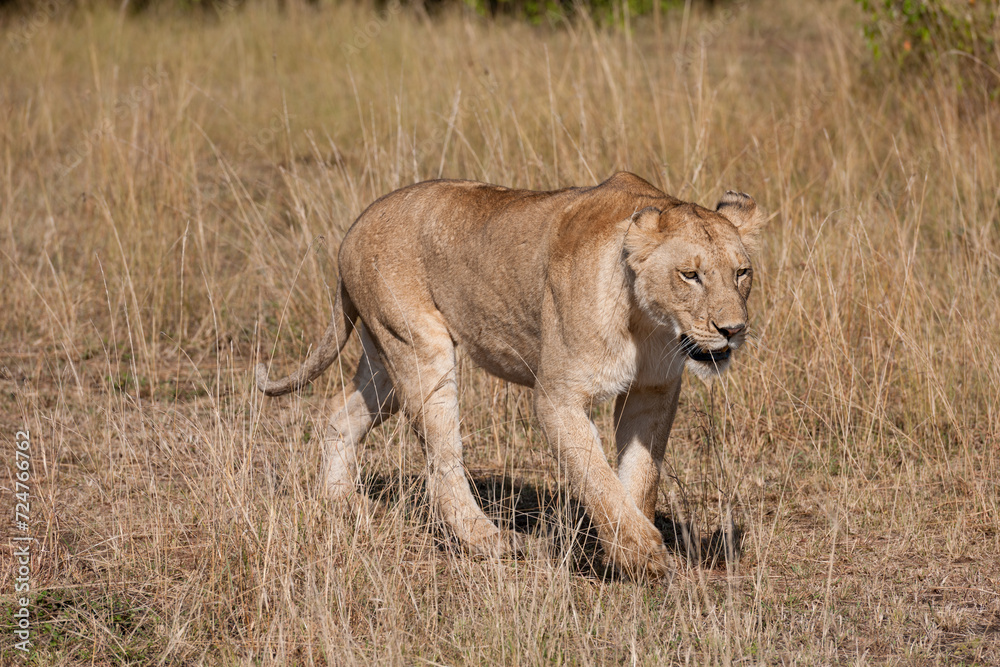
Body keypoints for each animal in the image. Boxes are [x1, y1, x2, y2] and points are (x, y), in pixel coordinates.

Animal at [256, 172, 766, 579]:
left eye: (742, 273)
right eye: (690, 275)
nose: (733, 329)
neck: (649, 325)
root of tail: (357, 224)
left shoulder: (654, 390)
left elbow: (639, 475)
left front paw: (628, 538)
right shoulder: (558, 397)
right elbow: (595, 476)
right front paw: (642, 555)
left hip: (385, 360)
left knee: (338, 418)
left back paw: (340, 501)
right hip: (422, 351)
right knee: (442, 461)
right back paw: (488, 540)